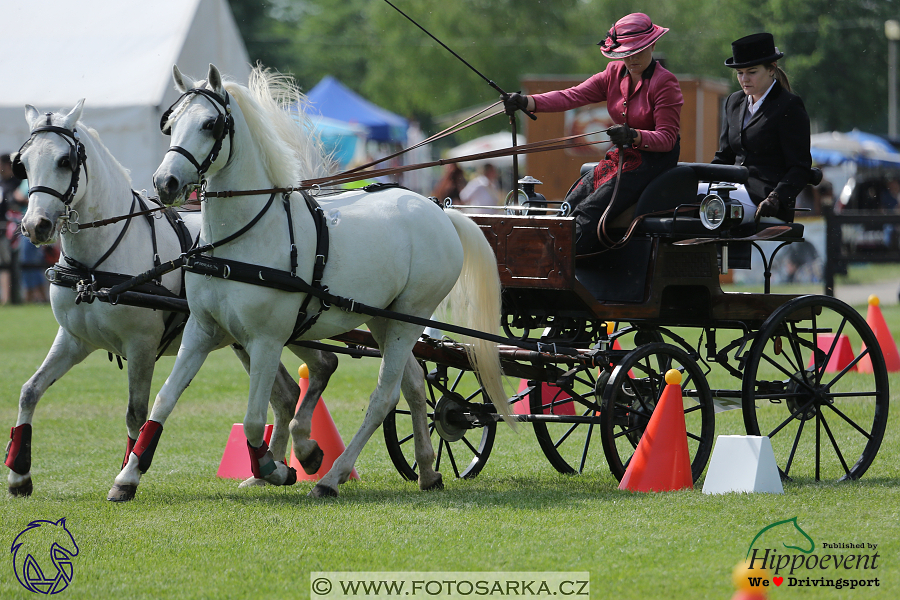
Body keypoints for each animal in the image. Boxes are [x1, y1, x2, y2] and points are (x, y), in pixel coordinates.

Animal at [7, 101, 338, 500]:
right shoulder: (74, 340)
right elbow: (29, 391)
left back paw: (305, 453)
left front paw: (128, 474)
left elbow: (136, 412)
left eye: (64, 161)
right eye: (23, 163)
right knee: (289, 392)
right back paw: (269, 469)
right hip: (249, 338)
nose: (34, 226)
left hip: (294, 326)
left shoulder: (140, 346)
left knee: (325, 363)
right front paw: (19, 474)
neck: (99, 260)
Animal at [111, 63, 510, 500]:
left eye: (210, 124)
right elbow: (163, 402)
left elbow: (255, 419)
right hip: (384, 319)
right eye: (170, 125)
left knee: (383, 396)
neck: (243, 239)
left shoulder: (266, 340)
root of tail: (440, 211)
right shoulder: (202, 330)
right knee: (414, 387)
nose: (164, 182)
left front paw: (277, 467)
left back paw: (332, 477)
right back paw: (426, 470)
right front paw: (128, 476)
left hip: (411, 315)